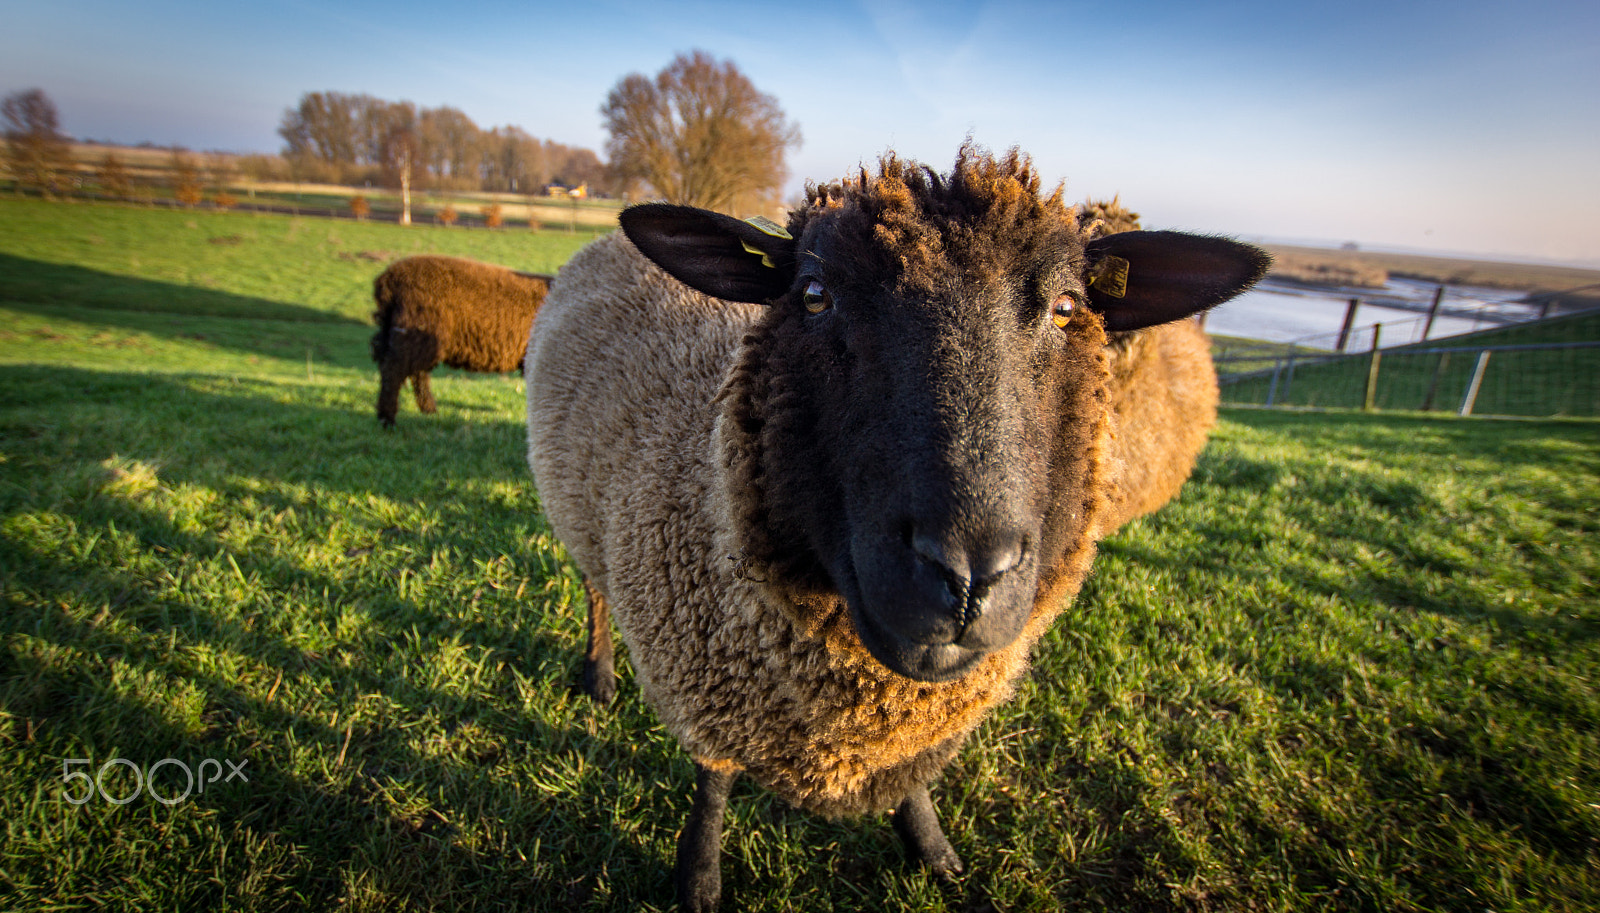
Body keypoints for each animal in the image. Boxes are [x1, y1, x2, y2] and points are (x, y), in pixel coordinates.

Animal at [366, 257, 553, 428]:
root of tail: (387, 279)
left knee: (412, 371)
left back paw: (429, 411)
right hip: (417, 333)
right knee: (394, 370)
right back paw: (388, 419)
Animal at [518, 146, 1267, 908]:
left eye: (1067, 308)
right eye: (814, 293)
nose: (966, 578)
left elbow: (913, 786)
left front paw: (932, 848)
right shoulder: (705, 684)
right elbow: (714, 786)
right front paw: (698, 878)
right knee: (595, 591)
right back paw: (600, 674)